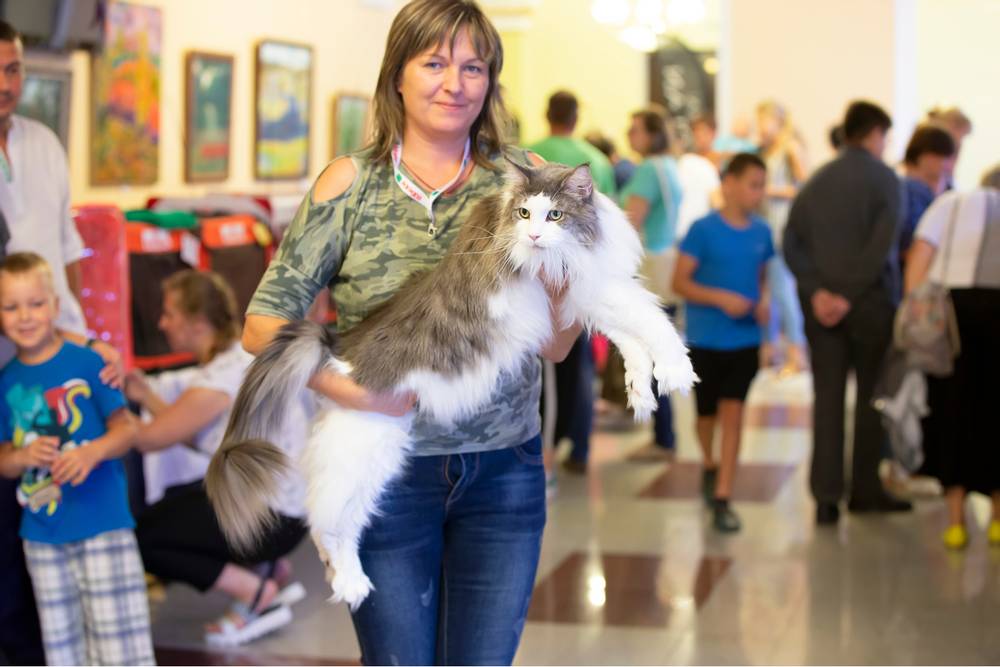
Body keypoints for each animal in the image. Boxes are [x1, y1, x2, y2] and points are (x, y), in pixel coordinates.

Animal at [205, 160, 696, 612]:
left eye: (554, 214)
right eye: (524, 213)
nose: (535, 236)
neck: (584, 238)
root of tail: (335, 344)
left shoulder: (581, 292)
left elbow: (630, 338)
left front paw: (640, 391)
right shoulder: (584, 285)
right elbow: (649, 318)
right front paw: (675, 370)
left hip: (376, 460)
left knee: (338, 525)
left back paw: (352, 583)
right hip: (363, 449)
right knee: (321, 520)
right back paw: (349, 583)